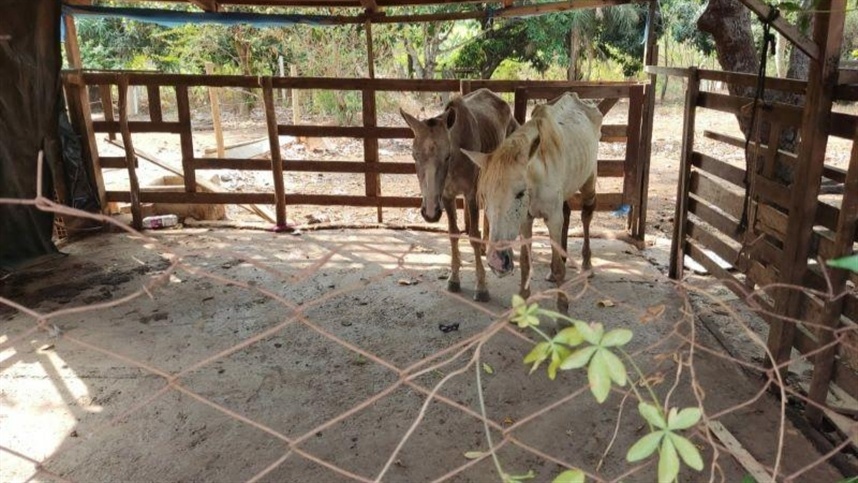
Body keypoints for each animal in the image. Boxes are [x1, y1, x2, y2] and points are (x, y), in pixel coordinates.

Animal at [400, 87, 516, 298]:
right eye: (414, 155)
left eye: (447, 155)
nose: (430, 212)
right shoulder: (447, 196)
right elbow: (453, 234)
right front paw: (453, 278)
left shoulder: (470, 194)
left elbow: (473, 235)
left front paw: (481, 285)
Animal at [464, 92, 600, 316]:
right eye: (484, 196)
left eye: (520, 193)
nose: (496, 260)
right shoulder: (525, 220)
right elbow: (526, 264)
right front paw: (521, 307)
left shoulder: (552, 219)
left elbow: (558, 266)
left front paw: (562, 312)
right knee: (568, 213)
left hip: (590, 181)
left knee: (586, 216)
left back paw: (587, 266)